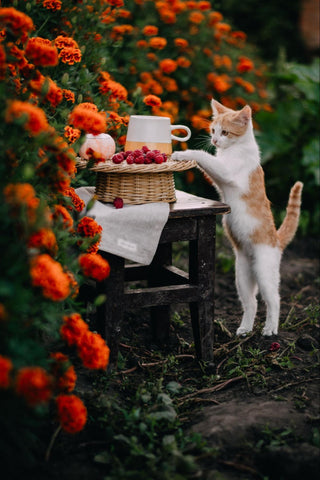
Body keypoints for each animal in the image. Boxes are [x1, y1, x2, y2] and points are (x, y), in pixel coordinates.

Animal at [172, 99, 302, 336]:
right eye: (213, 131)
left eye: (225, 132)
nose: (215, 140)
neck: (237, 147)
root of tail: (277, 240)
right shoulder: (218, 175)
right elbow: (207, 162)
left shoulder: (226, 172)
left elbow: (203, 156)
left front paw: (182, 154)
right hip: (242, 276)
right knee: (252, 302)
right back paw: (245, 329)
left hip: (264, 271)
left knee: (274, 300)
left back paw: (270, 329)